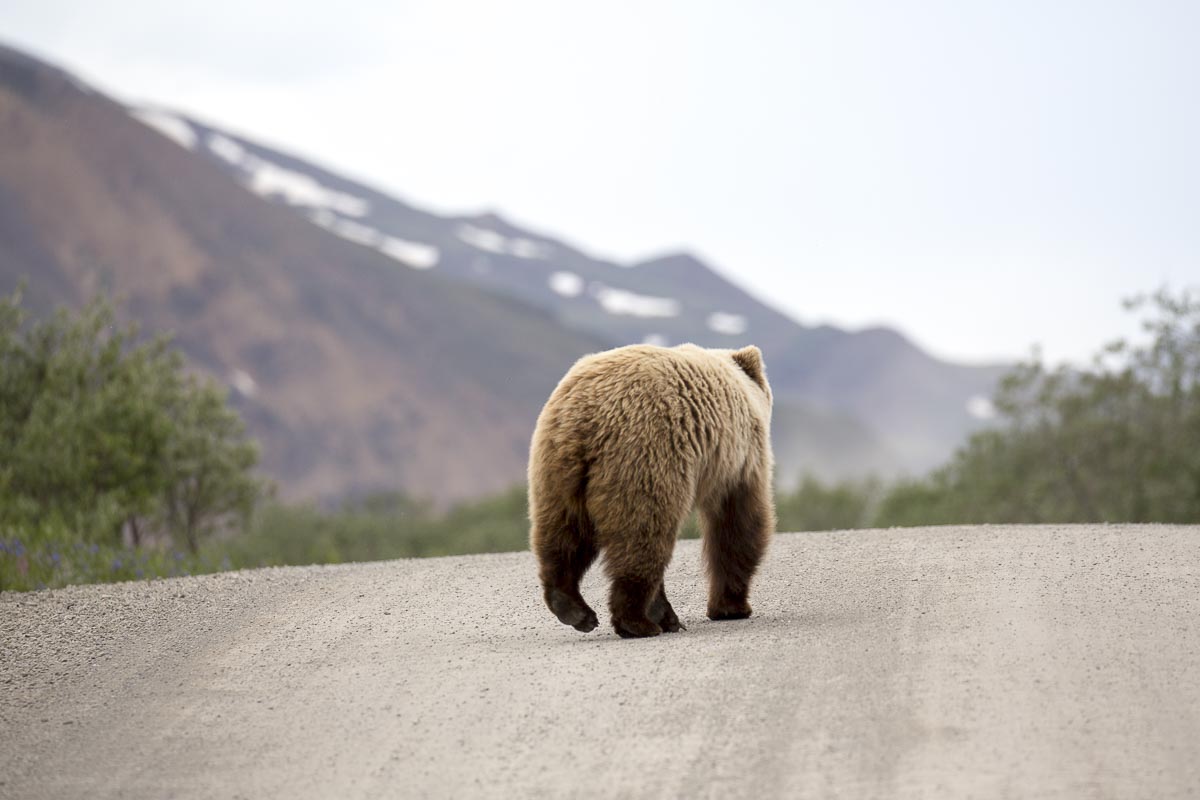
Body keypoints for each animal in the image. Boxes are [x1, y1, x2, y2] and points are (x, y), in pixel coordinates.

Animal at [528, 342, 775, 638]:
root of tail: (583, 416)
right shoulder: (739, 461)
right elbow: (739, 526)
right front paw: (732, 607)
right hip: (646, 457)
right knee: (644, 537)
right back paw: (639, 621)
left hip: (557, 474)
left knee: (564, 536)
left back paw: (574, 608)